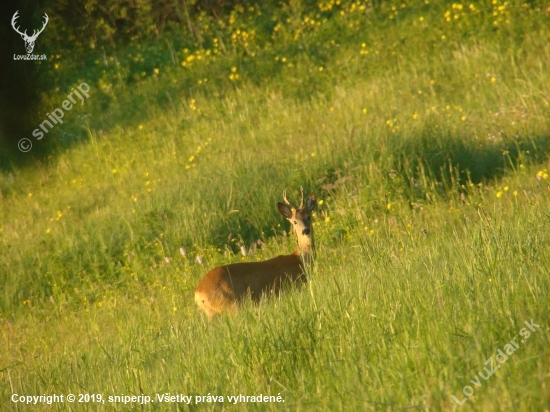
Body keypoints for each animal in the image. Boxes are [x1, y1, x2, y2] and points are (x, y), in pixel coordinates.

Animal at [195, 187, 316, 318]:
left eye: (309, 217)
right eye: (294, 221)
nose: (305, 230)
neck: (300, 259)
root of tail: (198, 293)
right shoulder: (295, 286)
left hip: (212, 313)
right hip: (232, 304)